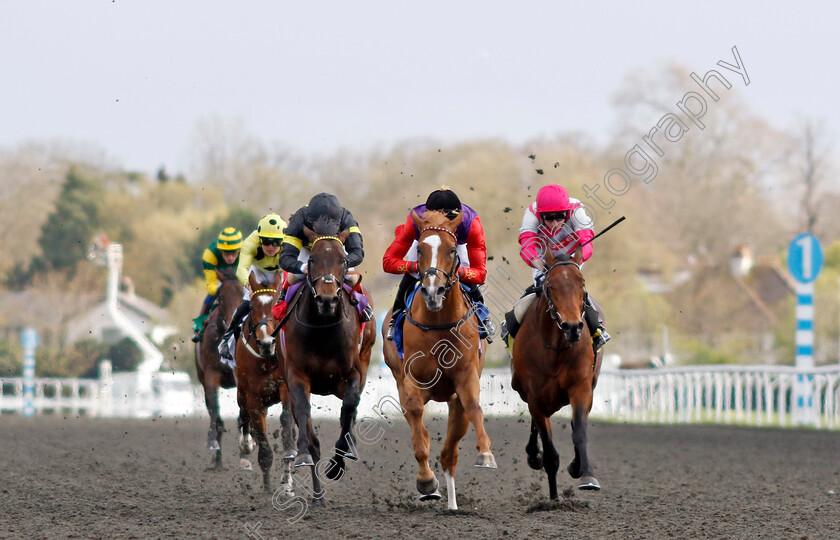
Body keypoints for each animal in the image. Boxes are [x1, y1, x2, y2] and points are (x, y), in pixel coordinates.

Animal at [235, 270, 296, 494]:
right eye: (252, 307)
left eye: (276, 304)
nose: (267, 342)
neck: (266, 360)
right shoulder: (253, 397)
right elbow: (261, 438)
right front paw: (268, 485)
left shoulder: (285, 387)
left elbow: (287, 423)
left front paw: (286, 481)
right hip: (241, 394)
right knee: (244, 417)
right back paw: (246, 443)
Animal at [282, 214, 374, 506]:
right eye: (312, 260)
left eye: (343, 260)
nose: (326, 299)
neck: (323, 329)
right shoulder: (296, 376)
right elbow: (304, 416)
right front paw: (303, 455)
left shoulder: (353, 373)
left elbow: (348, 410)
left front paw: (338, 463)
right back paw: (318, 496)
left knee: (351, 412)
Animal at [384, 209, 496, 512]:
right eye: (420, 249)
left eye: (451, 249)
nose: (433, 291)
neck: (438, 323)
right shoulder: (411, 382)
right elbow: (417, 430)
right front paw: (426, 482)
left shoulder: (466, 378)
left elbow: (474, 407)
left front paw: (486, 453)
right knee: (418, 426)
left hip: (454, 403)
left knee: (449, 452)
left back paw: (453, 504)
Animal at [508, 249, 600, 498]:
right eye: (550, 286)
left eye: (582, 283)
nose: (572, 326)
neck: (556, 348)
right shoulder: (536, 397)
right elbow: (550, 454)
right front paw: (554, 498)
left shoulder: (581, 387)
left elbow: (579, 432)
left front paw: (585, 474)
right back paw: (533, 455)